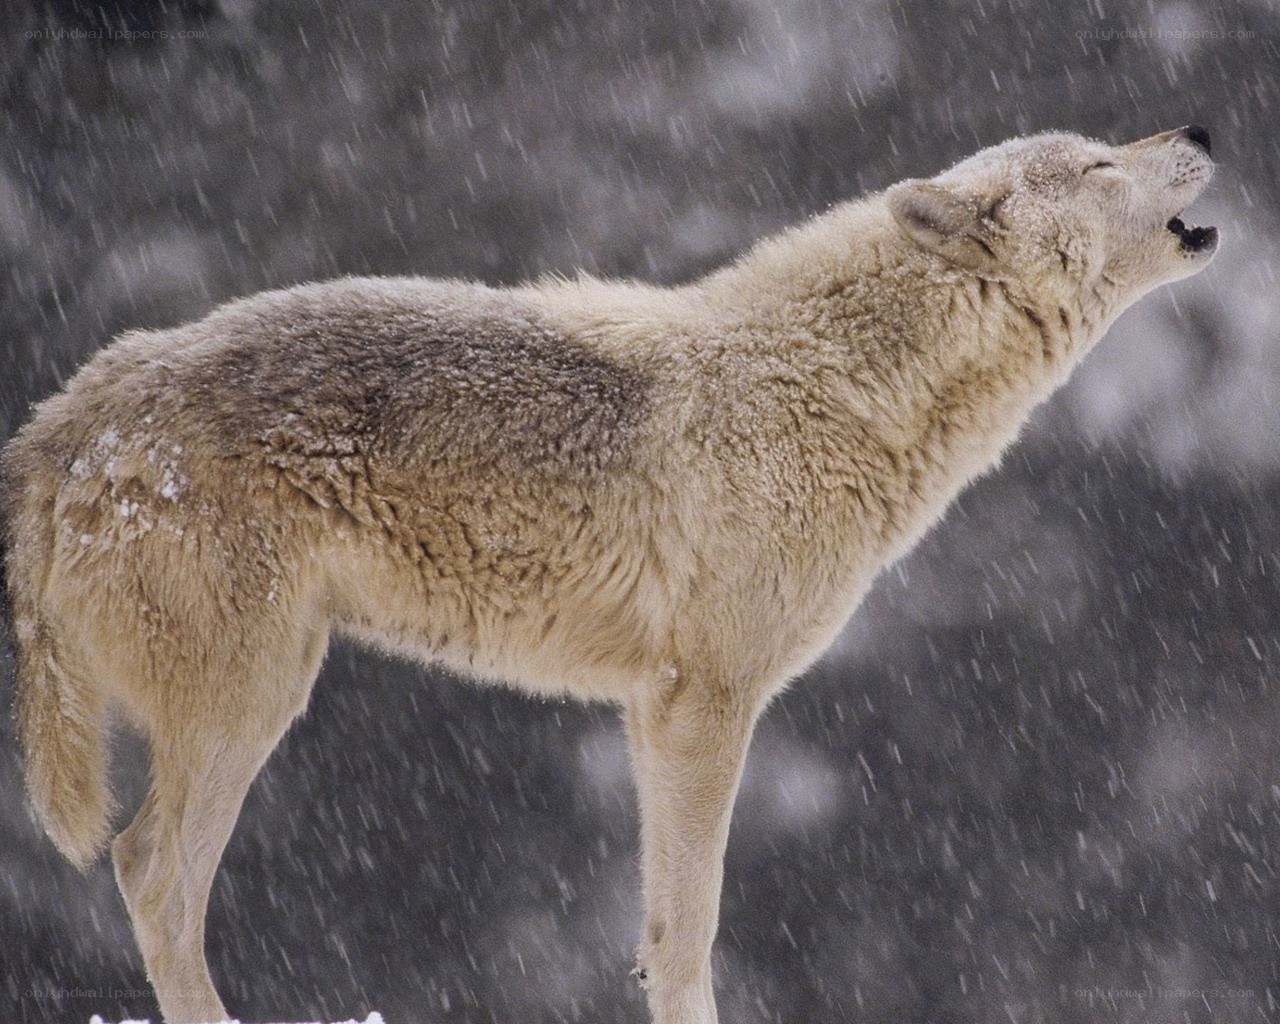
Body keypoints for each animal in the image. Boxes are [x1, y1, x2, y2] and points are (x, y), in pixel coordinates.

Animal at [1, 126, 1217, 1024]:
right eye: (1098, 162)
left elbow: (656, 932)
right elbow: (693, 933)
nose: (1200, 129)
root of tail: (72, 415)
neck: (829, 385)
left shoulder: (650, 710)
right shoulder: (707, 703)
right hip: (251, 703)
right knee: (152, 876)